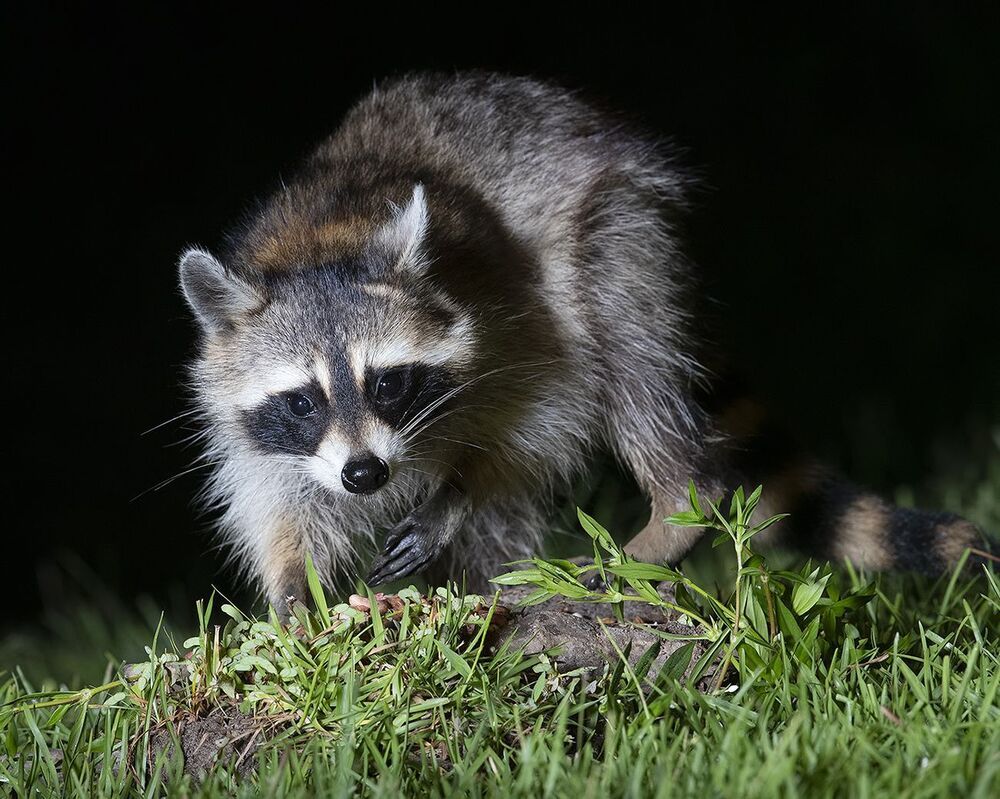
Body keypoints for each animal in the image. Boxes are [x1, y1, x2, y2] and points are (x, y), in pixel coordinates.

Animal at [178, 72, 991, 609]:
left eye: (388, 382)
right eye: (302, 401)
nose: (364, 475)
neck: (322, 245)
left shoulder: (514, 314)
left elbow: (543, 416)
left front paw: (460, 489)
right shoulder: (258, 422)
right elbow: (273, 494)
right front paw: (293, 585)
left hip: (617, 233)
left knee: (627, 363)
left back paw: (672, 507)